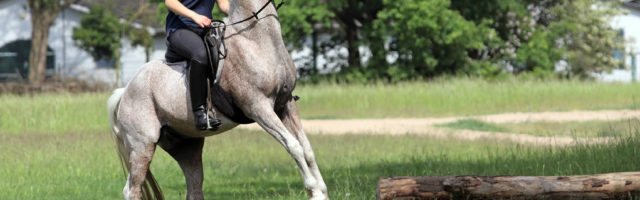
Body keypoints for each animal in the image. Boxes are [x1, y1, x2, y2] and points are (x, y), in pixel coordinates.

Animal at [105, 0, 330, 199]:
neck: (254, 39)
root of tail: (126, 90)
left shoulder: (285, 105)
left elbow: (307, 148)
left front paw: (321, 191)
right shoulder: (259, 108)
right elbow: (294, 146)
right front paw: (315, 191)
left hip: (187, 148)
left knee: (194, 189)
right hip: (142, 147)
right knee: (131, 189)